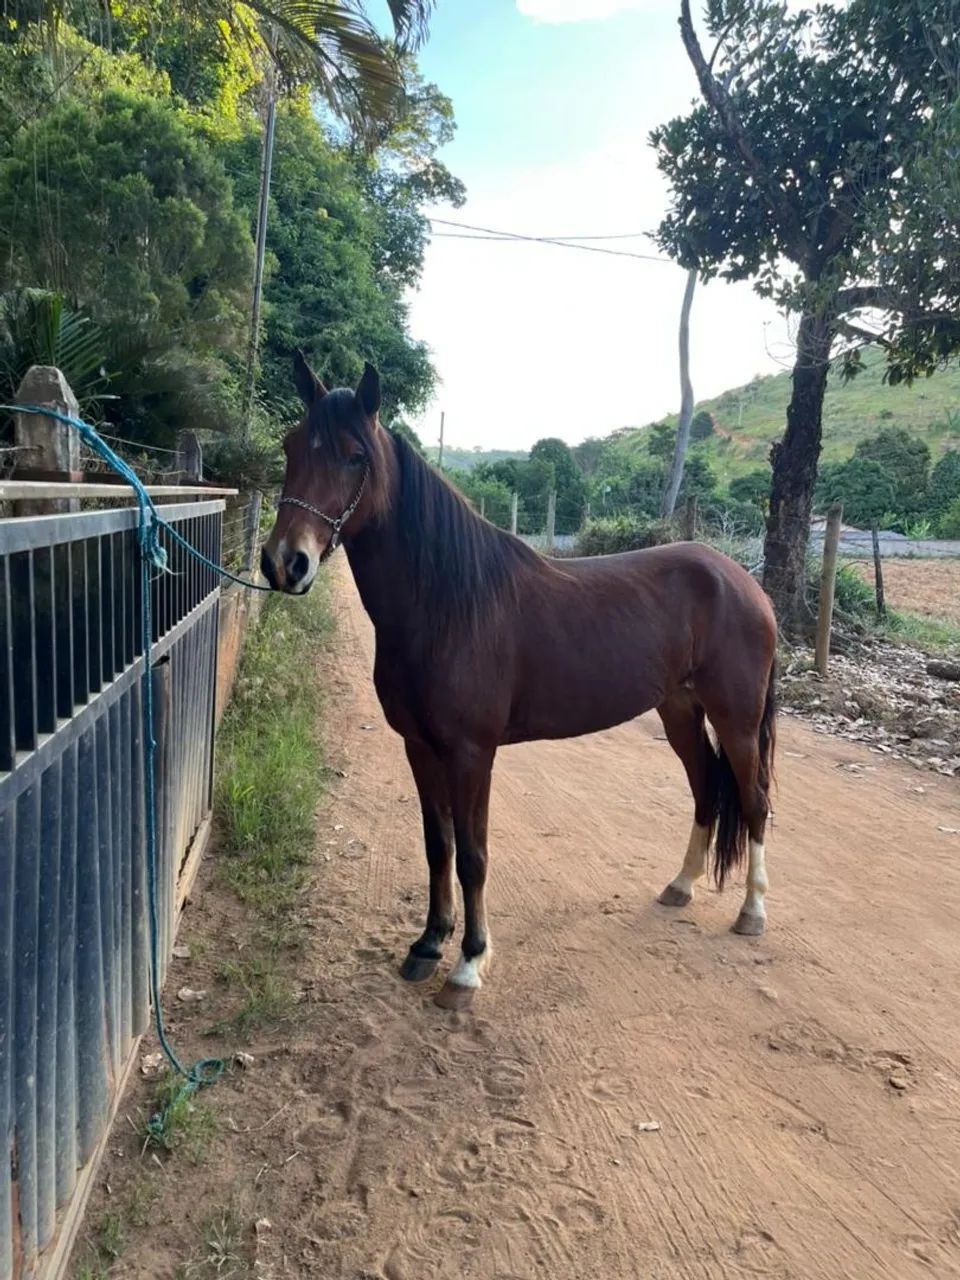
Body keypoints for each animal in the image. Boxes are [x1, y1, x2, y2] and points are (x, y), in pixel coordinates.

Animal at [261, 354, 778, 1010]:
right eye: (290, 444)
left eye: (355, 456)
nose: (285, 562)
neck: (447, 606)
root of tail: (745, 581)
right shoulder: (419, 747)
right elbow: (438, 845)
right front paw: (428, 945)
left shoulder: (470, 753)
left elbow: (473, 856)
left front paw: (467, 966)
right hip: (680, 712)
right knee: (707, 788)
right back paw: (680, 885)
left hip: (737, 719)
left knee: (754, 800)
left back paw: (752, 913)